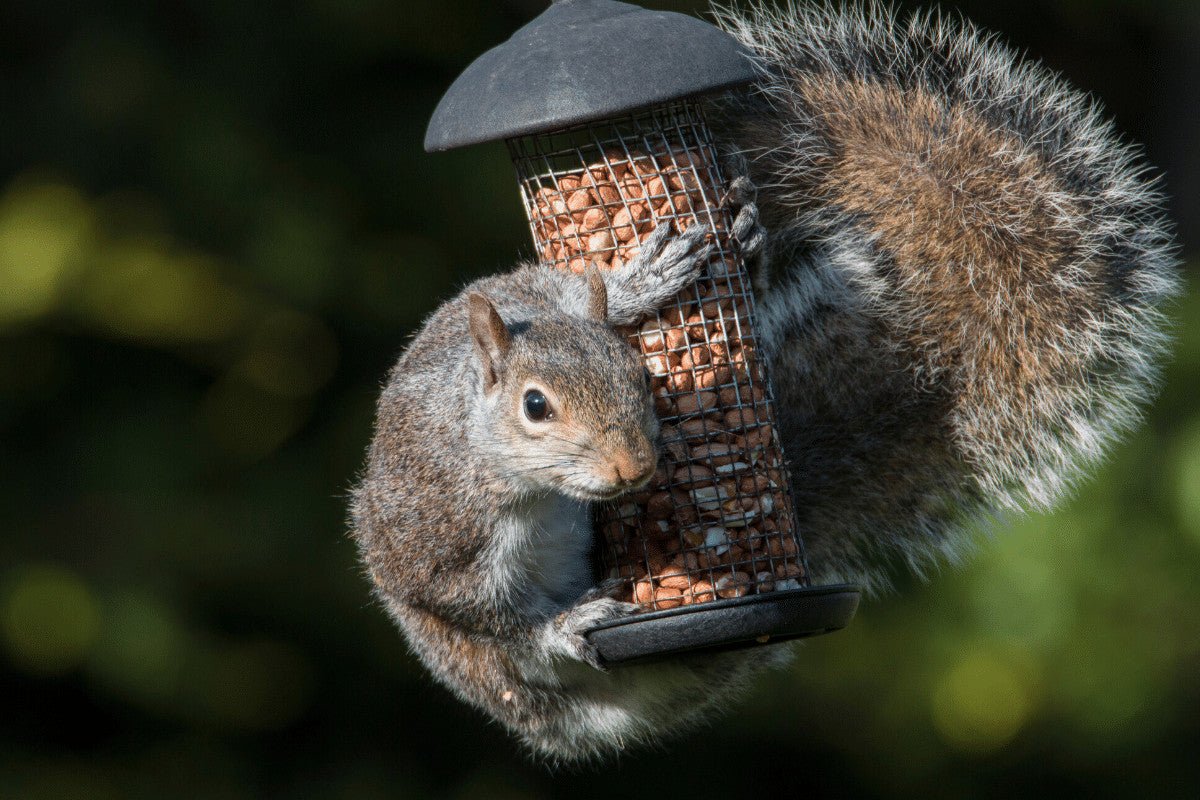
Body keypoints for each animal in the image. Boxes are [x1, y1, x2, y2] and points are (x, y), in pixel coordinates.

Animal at [351, 2, 1179, 764]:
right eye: (534, 407)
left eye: (636, 377)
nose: (633, 468)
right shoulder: (440, 545)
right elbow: (496, 619)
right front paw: (564, 624)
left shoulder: (525, 291)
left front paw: (645, 282)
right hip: (482, 669)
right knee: (518, 663)